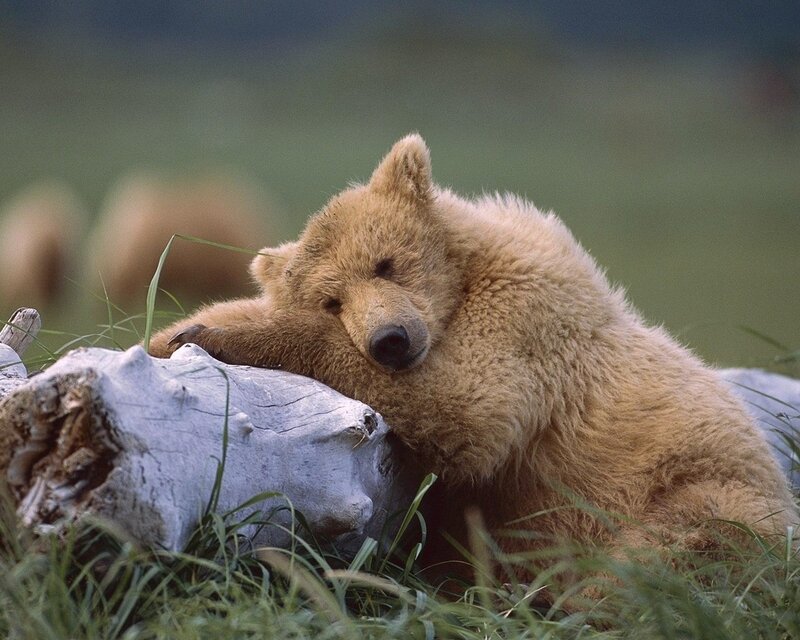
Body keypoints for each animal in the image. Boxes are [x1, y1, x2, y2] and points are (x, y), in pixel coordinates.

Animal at [149, 134, 798, 582]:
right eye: (332, 299)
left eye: (385, 263)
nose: (390, 340)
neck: (463, 280)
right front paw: (178, 331)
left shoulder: (526, 318)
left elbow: (467, 407)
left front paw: (222, 336)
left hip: (701, 490)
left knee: (672, 552)